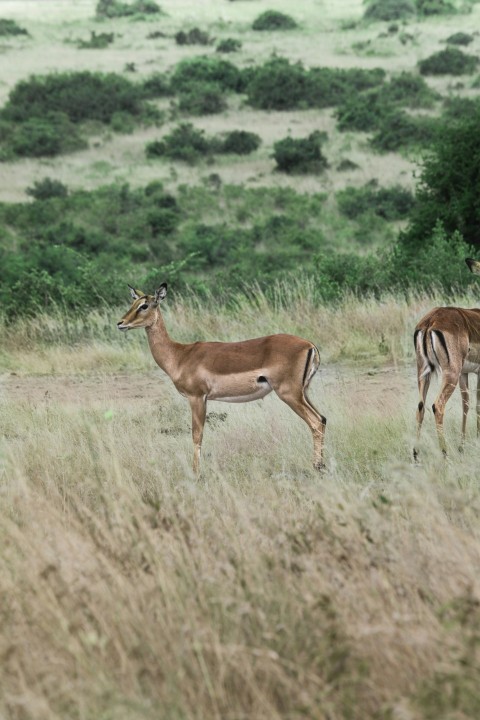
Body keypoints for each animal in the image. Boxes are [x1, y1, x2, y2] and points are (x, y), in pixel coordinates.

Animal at [117, 284, 326, 474]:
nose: (120, 323)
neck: (180, 355)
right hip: (303, 392)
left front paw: (196, 473)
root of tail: (310, 345)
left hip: (289, 393)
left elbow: (197, 435)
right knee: (322, 419)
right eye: (133, 302)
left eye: (144, 305)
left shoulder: (197, 397)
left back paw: (316, 467)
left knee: (315, 422)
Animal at [414, 257, 480, 458]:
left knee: (420, 407)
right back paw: (444, 453)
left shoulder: (466, 373)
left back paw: (416, 454)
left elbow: (466, 404)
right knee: (437, 405)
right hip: (450, 373)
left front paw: (462, 446)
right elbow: (478, 404)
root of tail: (430, 322)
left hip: (423, 372)